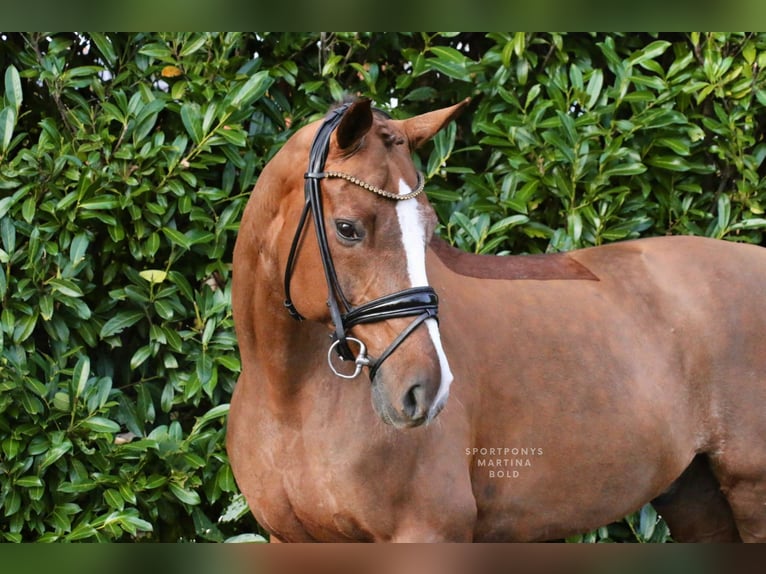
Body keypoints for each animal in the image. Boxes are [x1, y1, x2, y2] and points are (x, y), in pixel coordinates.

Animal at [227, 97, 766, 542]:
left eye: (429, 228)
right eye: (347, 228)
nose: (426, 388)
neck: (290, 401)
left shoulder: (427, 533)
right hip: (696, 495)